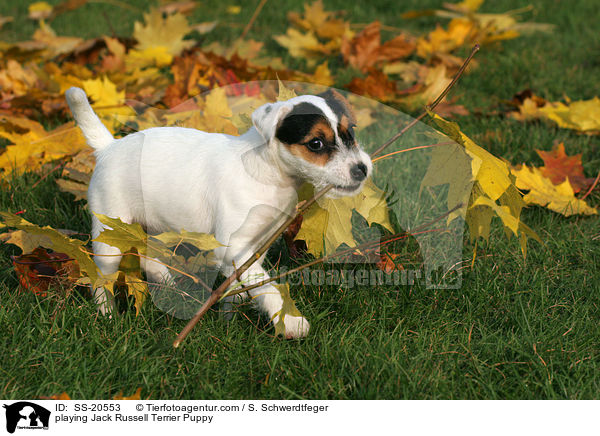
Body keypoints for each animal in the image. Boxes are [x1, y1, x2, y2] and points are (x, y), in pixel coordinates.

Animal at [68, 84, 372, 338]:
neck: (268, 172)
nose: (362, 169)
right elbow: (264, 283)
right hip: (109, 231)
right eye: (315, 144)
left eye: (351, 132)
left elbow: (248, 280)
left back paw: (171, 286)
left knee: (148, 257)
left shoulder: (259, 242)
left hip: (154, 227)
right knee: (102, 278)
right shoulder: (234, 246)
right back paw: (108, 315)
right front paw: (290, 321)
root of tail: (109, 147)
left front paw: (232, 307)